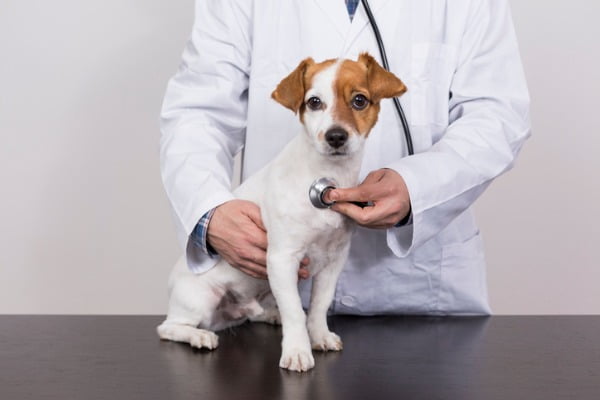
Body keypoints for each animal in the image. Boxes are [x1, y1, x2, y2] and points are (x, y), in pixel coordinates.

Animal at [157, 53, 406, 372]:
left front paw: (319, 336)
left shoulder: (333, 261)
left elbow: (318, 306)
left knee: (251, 313)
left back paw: (267, 314)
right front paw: (298, 351)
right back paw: (199, 336)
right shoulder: (281, 259)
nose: (336, 136)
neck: (326, 176)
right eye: (314, 102)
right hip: (199, 299)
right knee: (169, 327)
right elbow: (295, 312)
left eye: (360, 100)